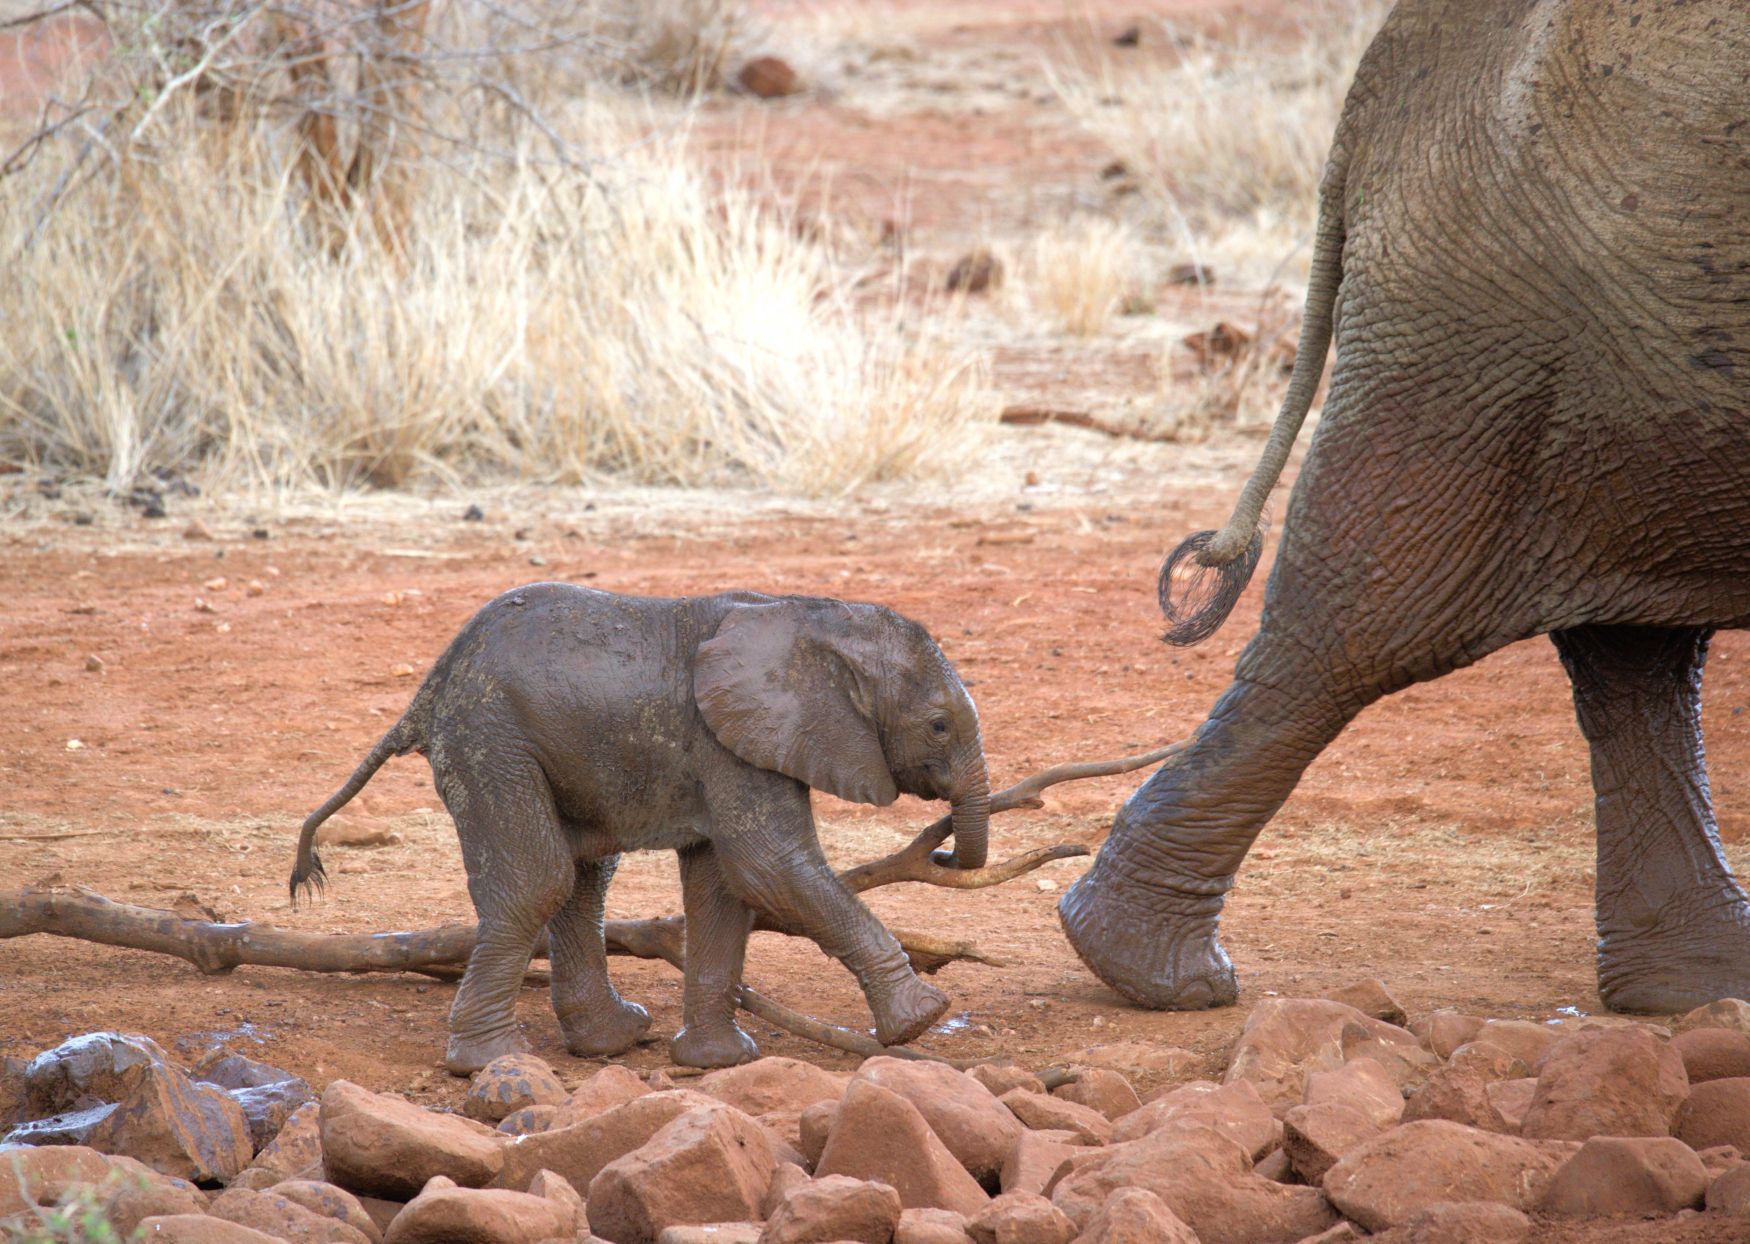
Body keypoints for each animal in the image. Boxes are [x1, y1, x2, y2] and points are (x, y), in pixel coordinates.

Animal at [290, 585, 991, 1073]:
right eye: (937, 726)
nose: (947, 851)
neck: (812, 613)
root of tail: (430, 688)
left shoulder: (733, 744)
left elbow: (722, 886)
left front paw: (719, 1062)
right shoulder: (729, 741)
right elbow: (769, 869)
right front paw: (922, 1019)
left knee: (582, 877)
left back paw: (612, 1040)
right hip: (491, 741)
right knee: (541, 880)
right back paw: (492, 1061)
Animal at [1060, 0, 1750, 1014]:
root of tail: (1376, 81)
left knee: (1636, 655)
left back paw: (1698, 992)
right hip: (1486, 329)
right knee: (1359, 625)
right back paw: (1157, 977)